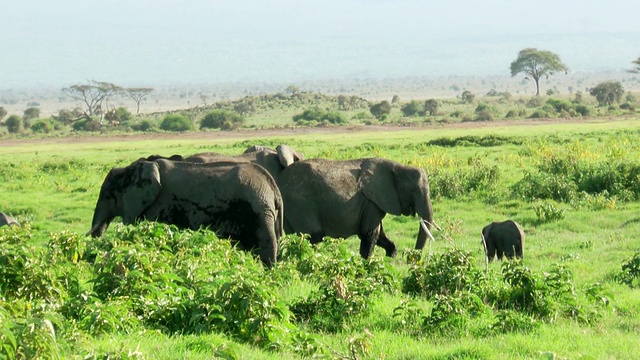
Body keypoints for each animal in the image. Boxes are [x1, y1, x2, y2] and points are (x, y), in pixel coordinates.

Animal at [276, 158, 436, 258]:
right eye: (412, 191)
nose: (410, 259)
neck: (398, 167)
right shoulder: (371, 200)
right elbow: (369, 233)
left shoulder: (373, 202)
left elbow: (379, 235)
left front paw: (390, 258)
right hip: (300, 206)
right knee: (312, 237)